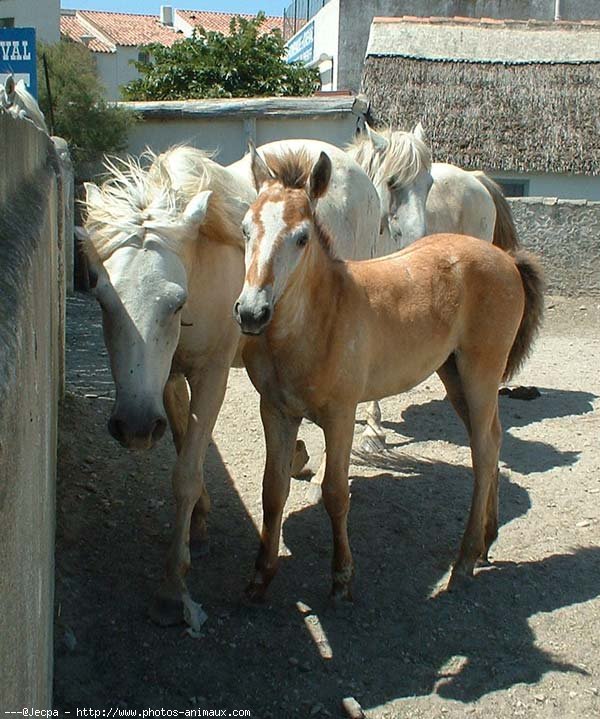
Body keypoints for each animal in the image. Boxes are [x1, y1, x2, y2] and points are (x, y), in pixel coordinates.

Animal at [234, 146, 544, 600]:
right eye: (244, 230)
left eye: (302, 237)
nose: (252, 313)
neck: (320, 318)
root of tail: (505, 259)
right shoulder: (275, 411)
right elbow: (273, 491)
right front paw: (260, 575)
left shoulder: (341, 415)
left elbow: (335, 492)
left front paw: (342, 576)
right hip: (454, 376)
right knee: (493, 438)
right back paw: (487, 541)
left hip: (481, 373)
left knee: (485, 454)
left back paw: (465, 561)